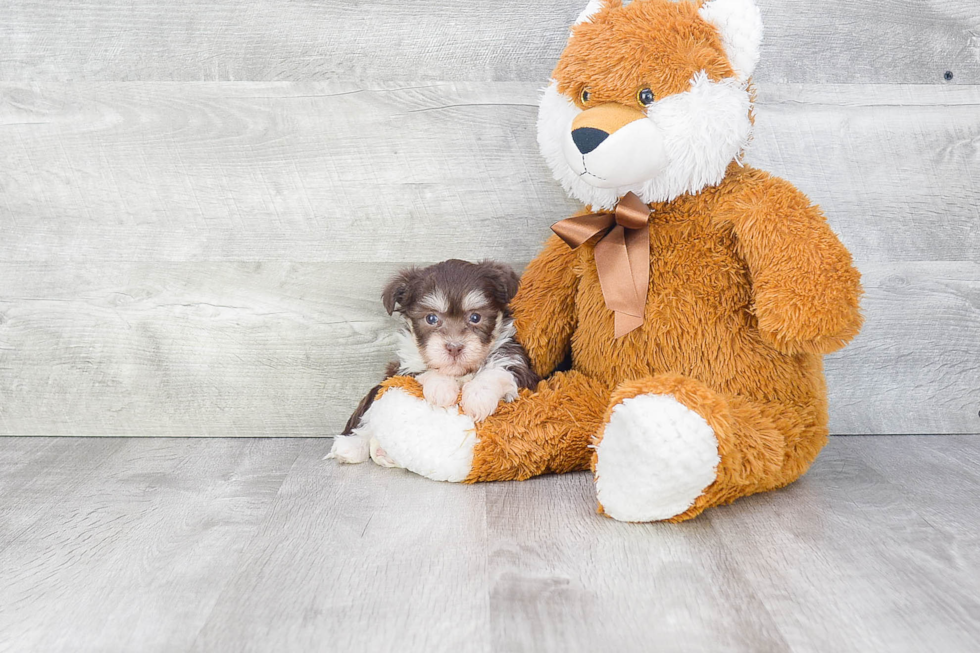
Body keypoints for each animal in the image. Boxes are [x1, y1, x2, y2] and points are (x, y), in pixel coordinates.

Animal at [326, 258, 536, 466]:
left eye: (475, 317)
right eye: (431, 318)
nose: (454, 347)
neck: (459, 373)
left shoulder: (517, 363)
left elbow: (496, 372)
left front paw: (478, 397)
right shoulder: (403, 369)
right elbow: (425, 371)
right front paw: (442, 389)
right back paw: (352, 446)